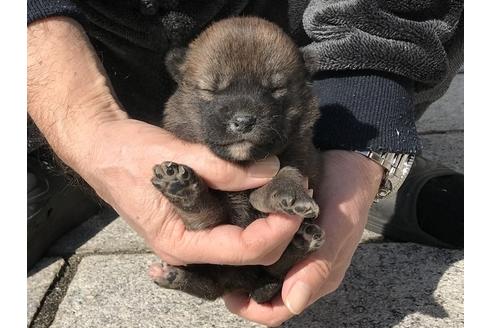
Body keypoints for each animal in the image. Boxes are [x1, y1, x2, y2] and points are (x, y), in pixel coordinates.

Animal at [150, 16, 326, 302]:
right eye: (211, 89)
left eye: (275, 89)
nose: (243, 121)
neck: (243, 162)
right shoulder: (208, 229)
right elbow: (205, 215)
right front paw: (182, 188)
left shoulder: (302, 155)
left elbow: (289, 170)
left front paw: (288, 190)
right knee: (210, 287)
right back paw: (175, 274)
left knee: (275, 268)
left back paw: (303, 242)